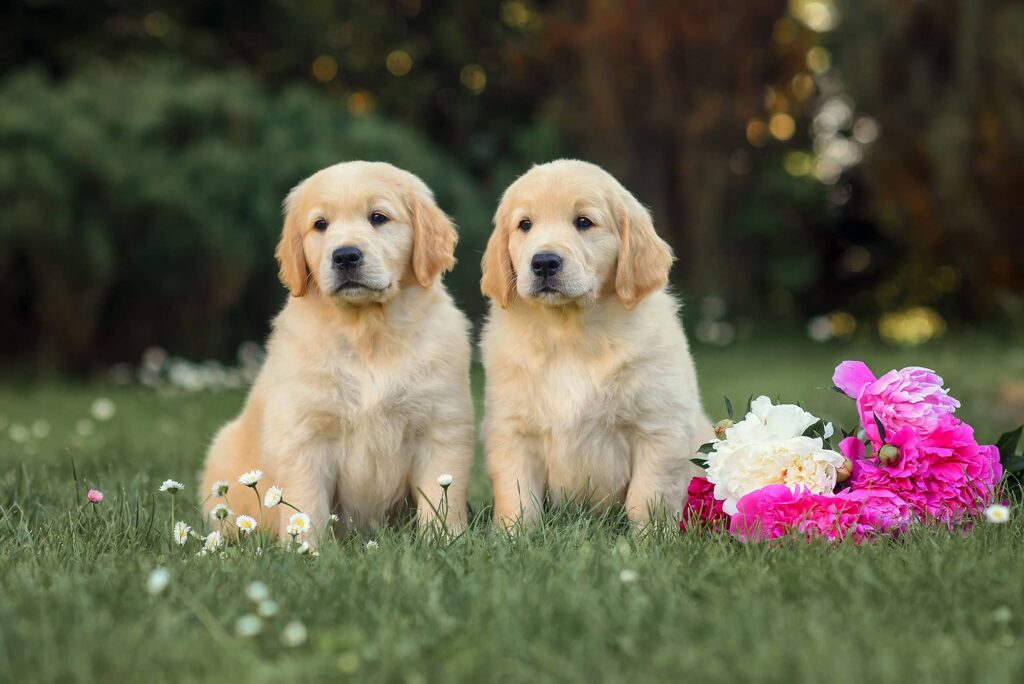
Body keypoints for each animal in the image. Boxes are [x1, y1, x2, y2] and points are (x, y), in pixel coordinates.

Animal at [198, 160, 471, 540]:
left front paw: (443, 542)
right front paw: (303, 548)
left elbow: (440, 498)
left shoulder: (440, 428)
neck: (367, 333)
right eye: (320, 225)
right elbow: (306, 506)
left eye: (378, 217)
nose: (345, 256)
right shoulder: (304, 436)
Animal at [479, 157, 712, 528]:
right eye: (524, 225)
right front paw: (511, 535)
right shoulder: (511, 430)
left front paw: (649, 537)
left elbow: (648, 495)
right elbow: (517, 497)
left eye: (584, 222)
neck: (569, 332)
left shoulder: (659, 427)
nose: (544, 262)